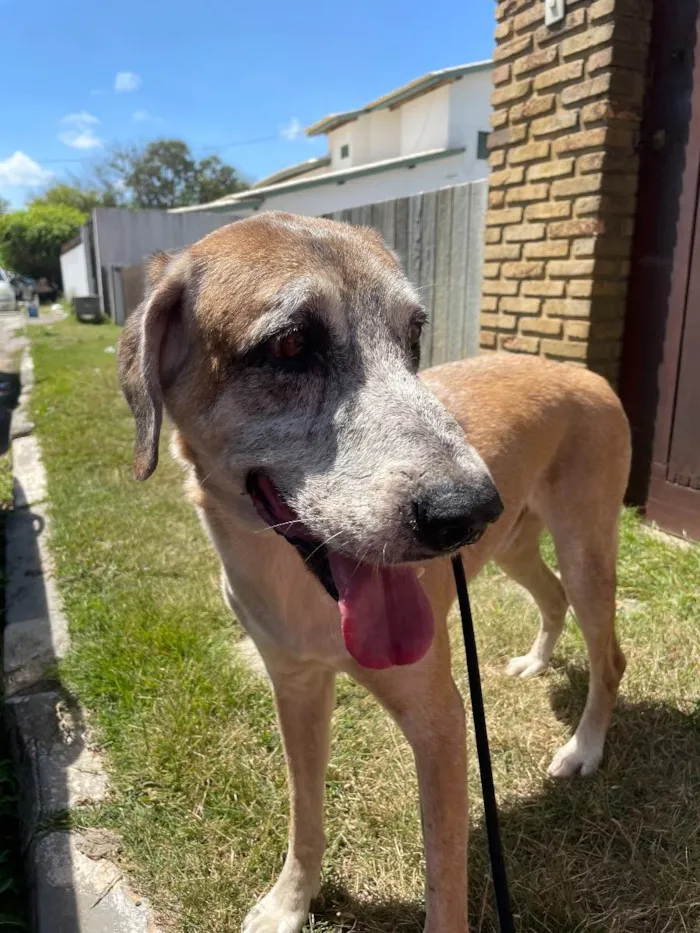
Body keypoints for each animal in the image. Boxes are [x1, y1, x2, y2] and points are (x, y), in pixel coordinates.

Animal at [117, 211, 632, 932]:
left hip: (585, 548)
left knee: (609, 655)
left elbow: (444, 880)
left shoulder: (440, 720)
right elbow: (304, 813)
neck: (299, 589)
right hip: (514, 547)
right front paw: (290, 902)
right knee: (551, 597)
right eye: (290, 344)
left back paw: (583, 749)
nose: (470, 510)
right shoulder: (295, 687)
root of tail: (584, 374)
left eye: (413, 335)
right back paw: (535, 662)